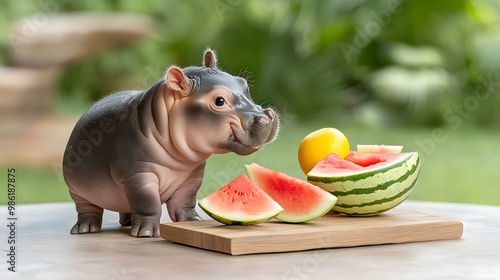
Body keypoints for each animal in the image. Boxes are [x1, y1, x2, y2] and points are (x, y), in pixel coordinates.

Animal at [62, 49, 280, 236]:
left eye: (244, 85)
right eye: (219, 101)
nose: (267, 116)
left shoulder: (192, 176)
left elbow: (185, 202)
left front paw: (193, 222)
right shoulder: (138, 177)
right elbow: (148, 204)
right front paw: (147, 232)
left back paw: (128, 221)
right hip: (78, 191)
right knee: (88, 209)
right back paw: (86, 229)